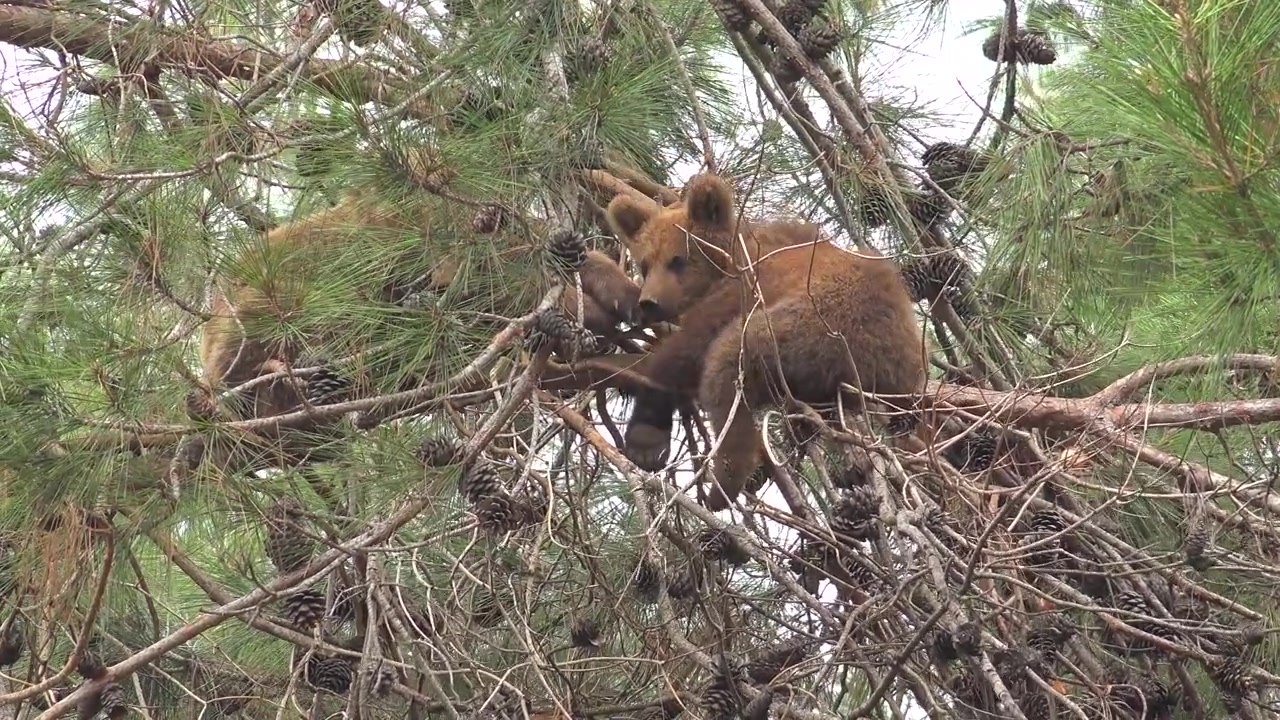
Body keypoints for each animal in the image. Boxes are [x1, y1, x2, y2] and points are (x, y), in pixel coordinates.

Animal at [600, 172, 927, 510]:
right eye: (645, 264)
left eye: (678, 260)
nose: (649, 302)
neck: (729, 263)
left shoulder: (742, 289)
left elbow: (682, 353)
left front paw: (643, 432)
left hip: (805, 328)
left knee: (727, 372)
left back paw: (721, 485)